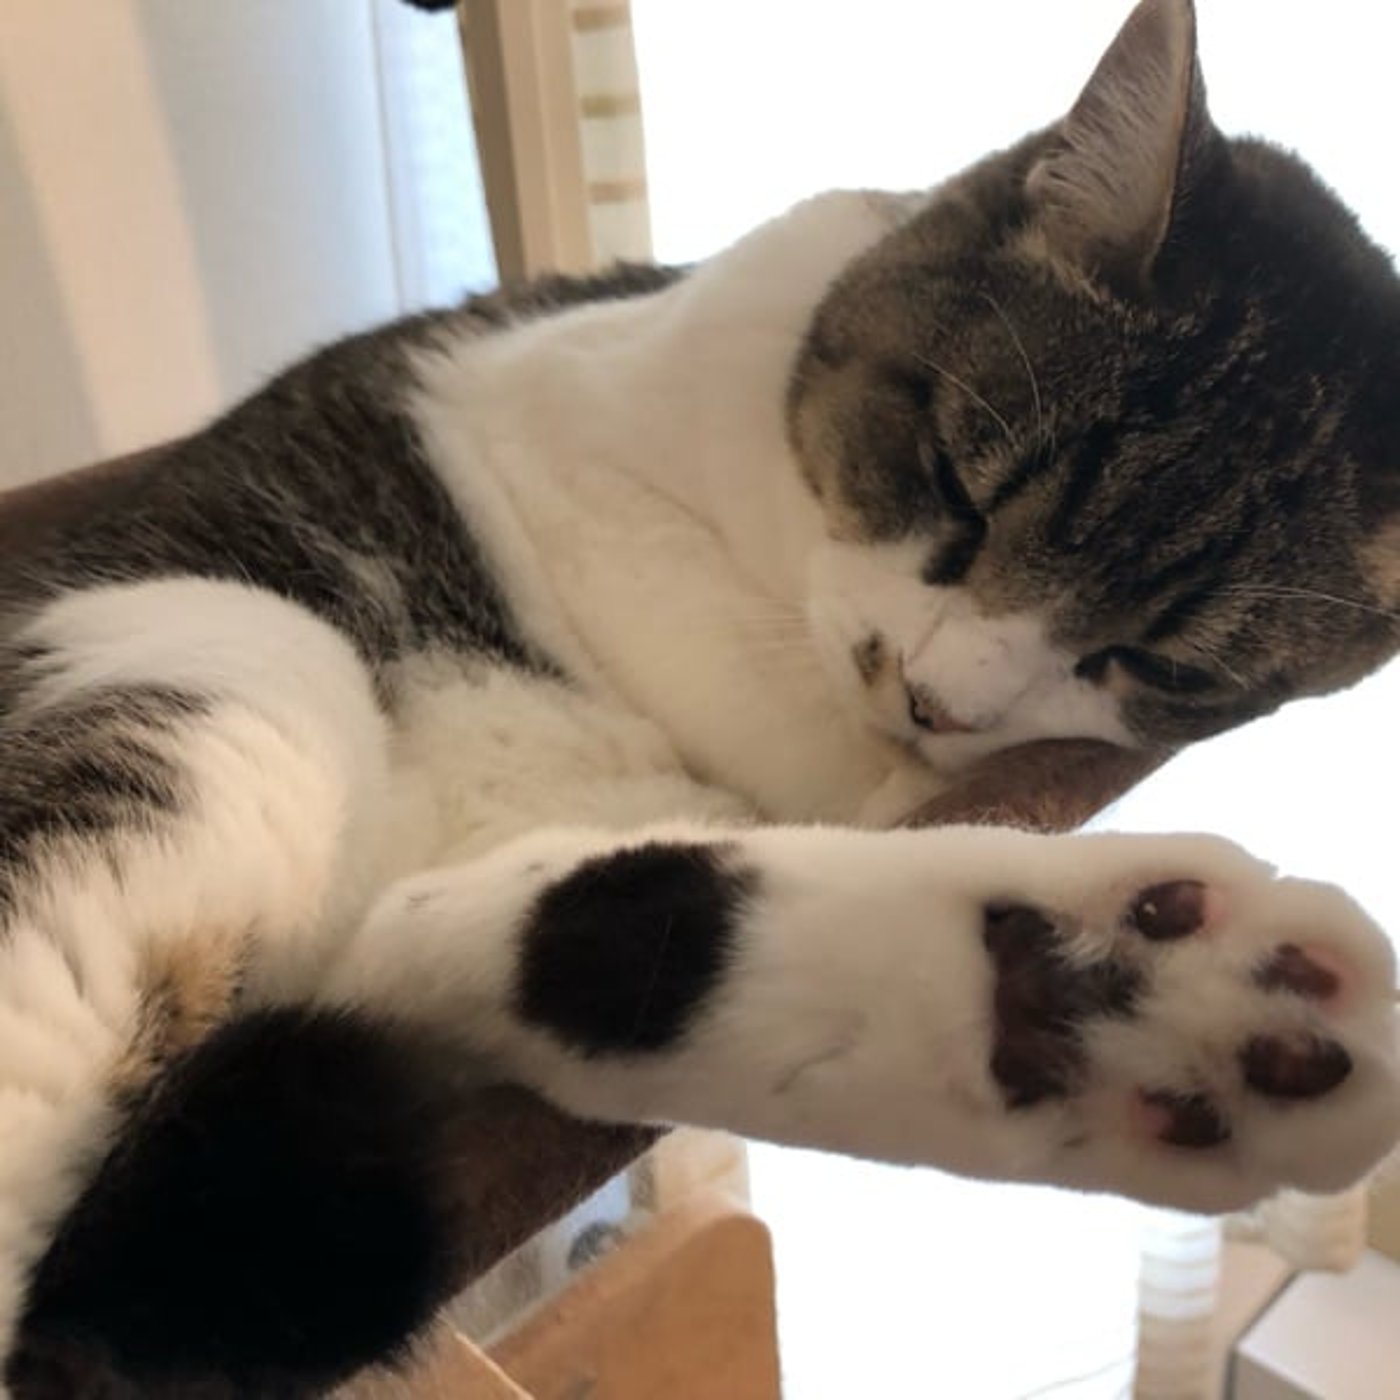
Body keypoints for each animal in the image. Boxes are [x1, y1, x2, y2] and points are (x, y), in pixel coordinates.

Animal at [4, 0, 1400, 1393]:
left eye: (1152, 661)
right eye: (954, 484)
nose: (931, 704)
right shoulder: (562, 447)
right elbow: (728, 646)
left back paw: (1135, 1003)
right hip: (230, 662)